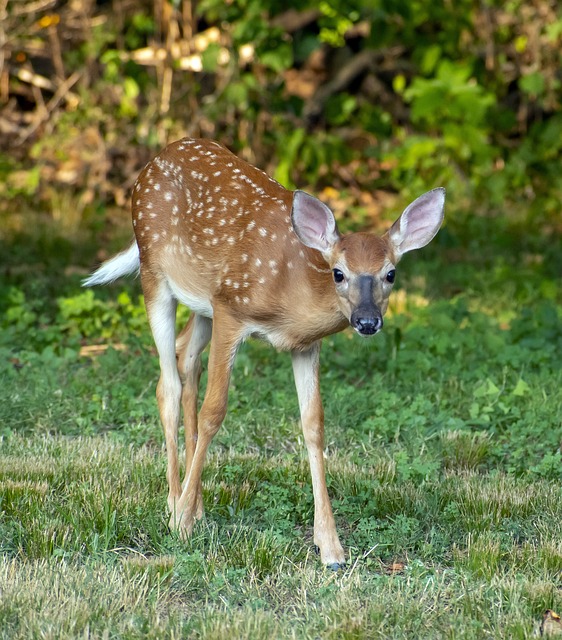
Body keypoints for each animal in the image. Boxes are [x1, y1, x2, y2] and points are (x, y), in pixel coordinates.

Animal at [83, 139, 444, 568]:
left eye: (390, 273)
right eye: (338, 273)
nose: (367, 321)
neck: (291, 287)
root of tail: (156, 159)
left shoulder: (305, 345)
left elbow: (314, 424)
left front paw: (331, 547)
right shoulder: (231, 310)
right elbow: (214, 412)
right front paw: (181, 525)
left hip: (201, 302)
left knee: (186, 357)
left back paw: (195, 502)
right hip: (155, 274)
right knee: (167, 385)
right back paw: (175, 505)